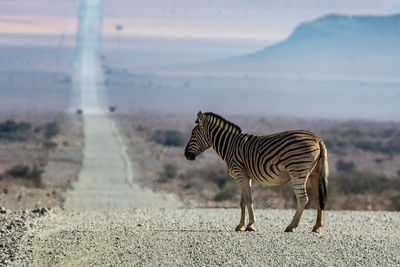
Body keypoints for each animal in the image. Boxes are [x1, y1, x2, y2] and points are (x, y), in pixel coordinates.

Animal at [184, 112, 328, 233]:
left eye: (193, 134)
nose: (186, 155)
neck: (230, 145)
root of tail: (317, 138)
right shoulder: (245, 176)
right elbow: (243, 201)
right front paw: (240, 225)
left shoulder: (239, 174)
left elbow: (248, 199)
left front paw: (250, 225)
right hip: (314, 173)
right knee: (318, 197)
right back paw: (317, 227)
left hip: (297, 171)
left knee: (303, 198)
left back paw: (291, 226)